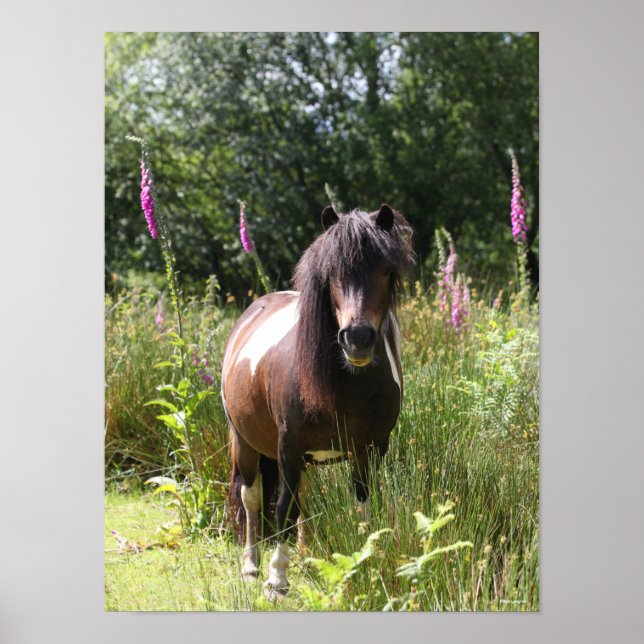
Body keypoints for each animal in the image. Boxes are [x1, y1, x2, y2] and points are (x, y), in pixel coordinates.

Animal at [222, 203, 414, 598]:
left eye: (386, 270)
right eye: (332, 273)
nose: (357, 338)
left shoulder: (371, 448)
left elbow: (363, 505)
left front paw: (363, 562)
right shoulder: (288, 446)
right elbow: (282, 507)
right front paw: (276, 579)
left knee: (305, 499)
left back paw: (306, 556)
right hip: (246, 443)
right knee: (252, 497)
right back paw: (251, 565)